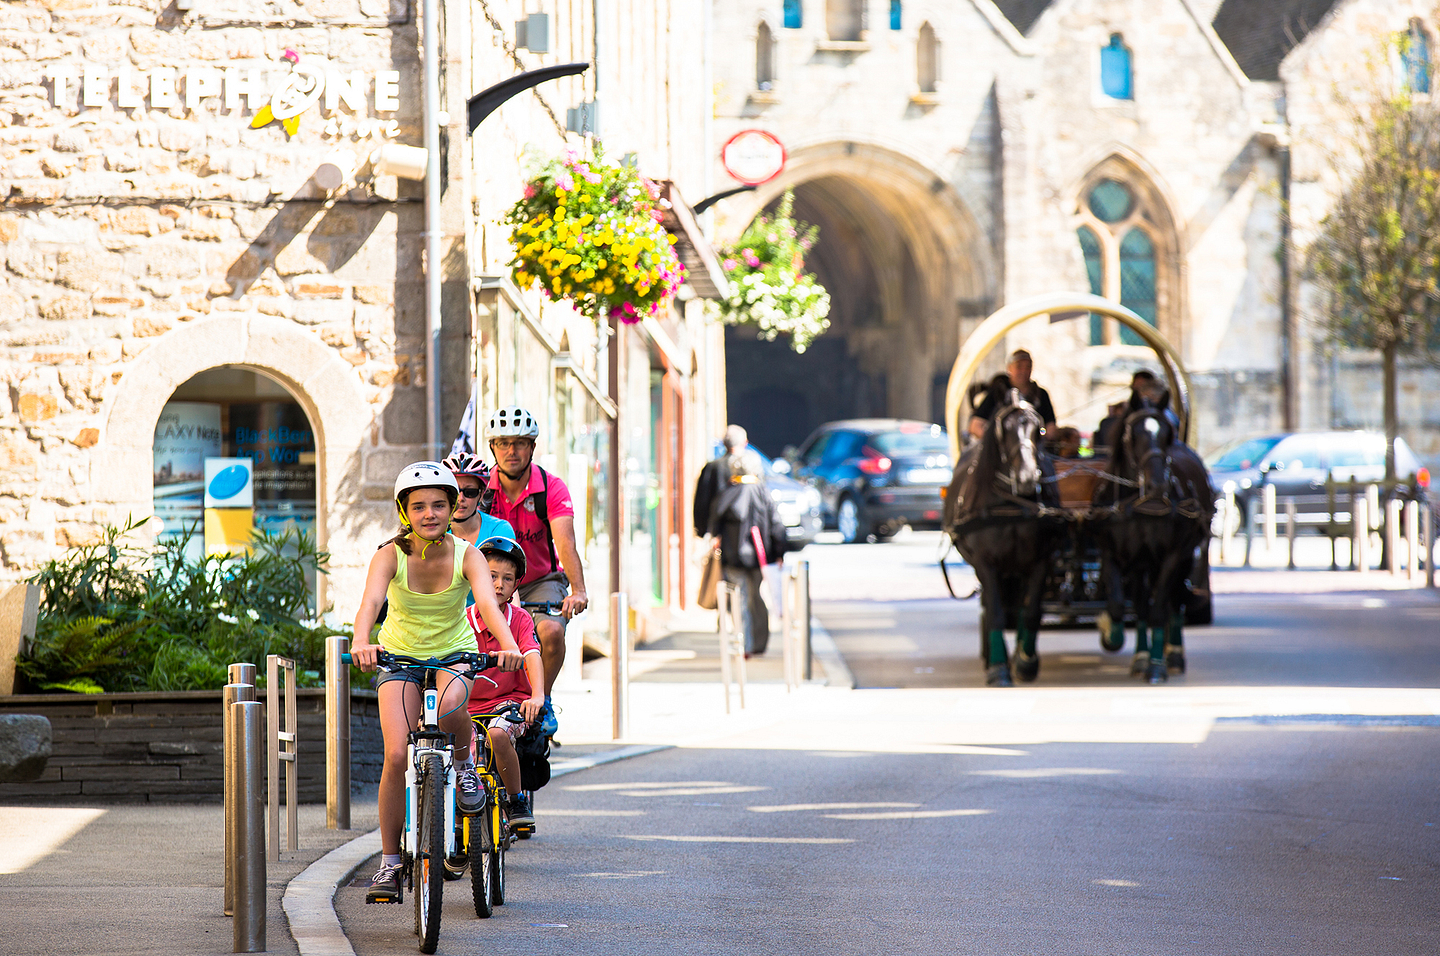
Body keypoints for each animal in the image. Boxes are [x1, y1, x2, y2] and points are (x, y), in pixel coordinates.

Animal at [950, 388, 1065, 688]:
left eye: (1039, 429)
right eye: (1006, 430)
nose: (1026, 478)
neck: (1011, 503)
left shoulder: (1040, 560)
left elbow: (1032, 610)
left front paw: (1026, 662)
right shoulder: (985, 563)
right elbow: (996, 613)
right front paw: (999, 669)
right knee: (994, 605)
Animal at [1094, 391, 1209, 682]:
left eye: (1167, 434)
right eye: (1134, 434)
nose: (1158, 485)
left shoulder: (1172, 556)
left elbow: (1158, 610)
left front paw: (1156, 666)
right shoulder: (1115, 556)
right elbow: (1120, 604)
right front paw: (1114, 637)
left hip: (1185, 556)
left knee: (1174, 602)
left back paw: (1174, 655)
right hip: (1144, 564)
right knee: (1146, 602)